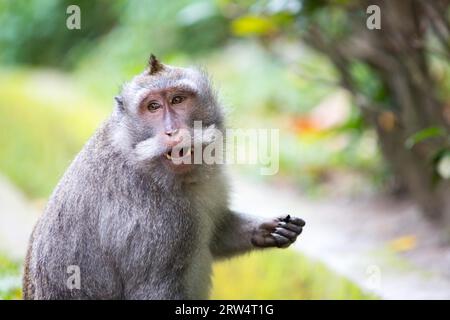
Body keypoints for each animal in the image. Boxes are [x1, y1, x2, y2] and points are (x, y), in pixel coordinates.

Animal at [23, 55, 306, 300]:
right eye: (153, 107)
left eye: (178, 99)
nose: (172, 131)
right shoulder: (154, 223)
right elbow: (153, 290)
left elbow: (216, 234)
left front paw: (269, 229)